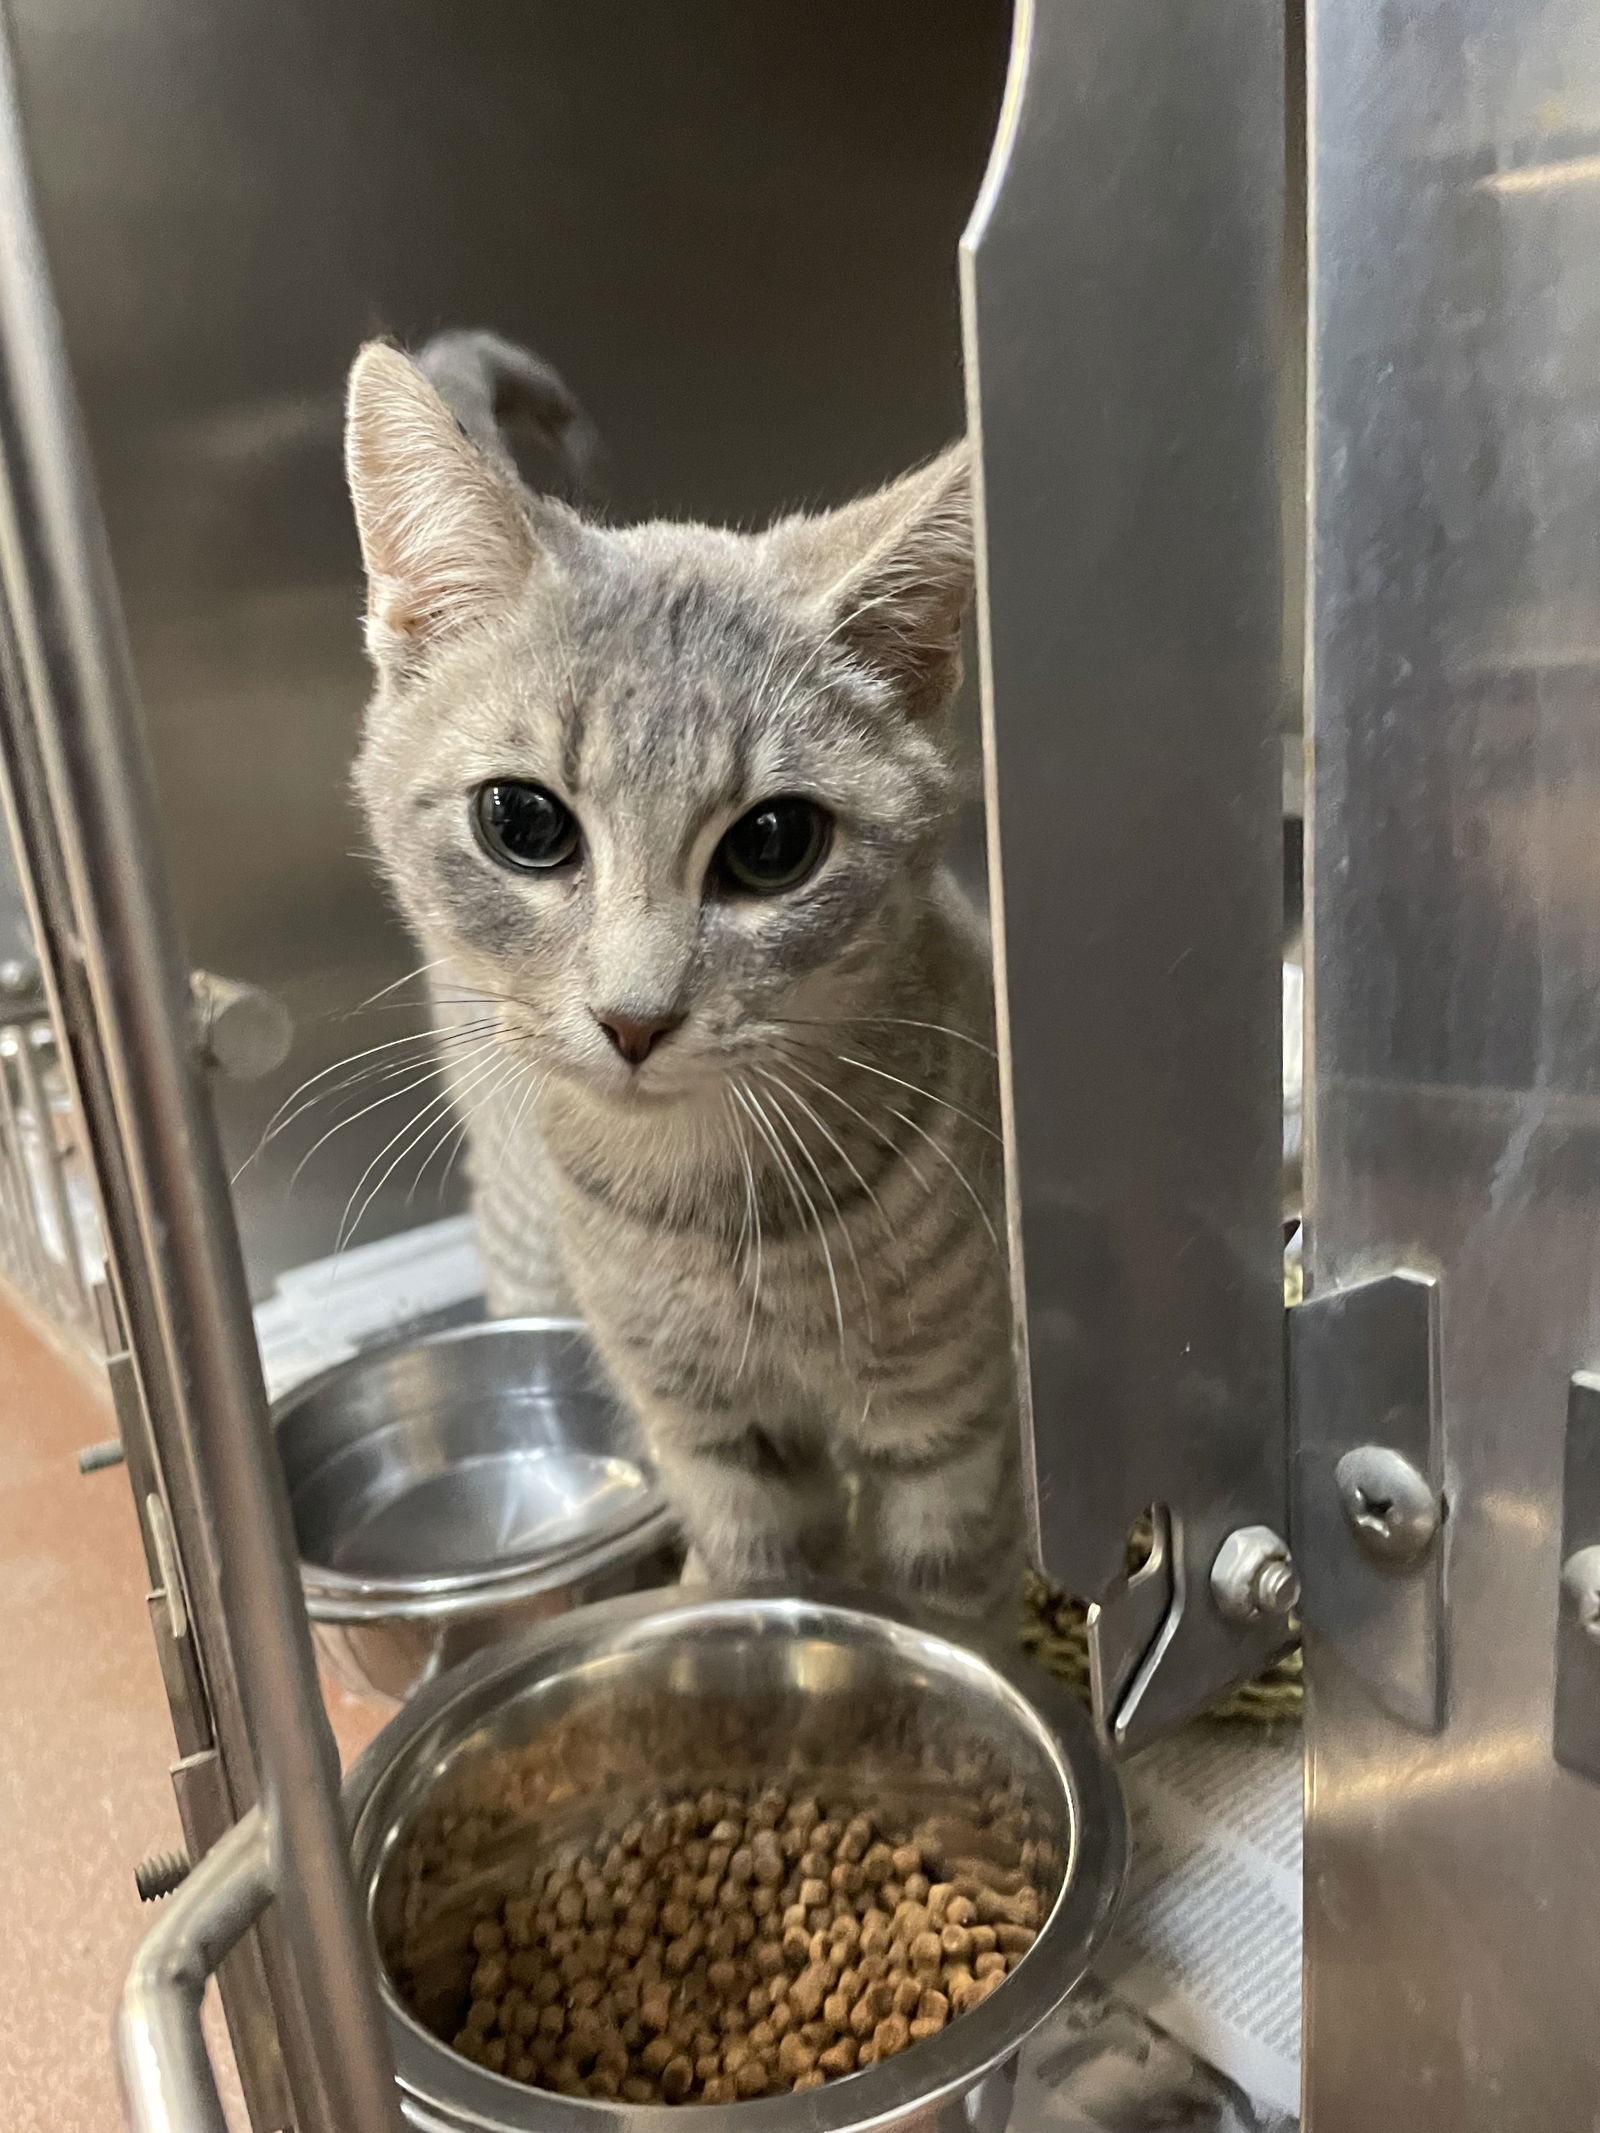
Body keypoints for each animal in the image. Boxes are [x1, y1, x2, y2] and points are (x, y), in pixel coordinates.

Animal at [343, 332, 1019, 1612]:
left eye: (773, 845)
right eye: (523, 822)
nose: (634, 1018)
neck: (717, 1210)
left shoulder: (949, 1422)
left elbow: (943, 1597)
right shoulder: (714, 1439)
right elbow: (755, 1563)